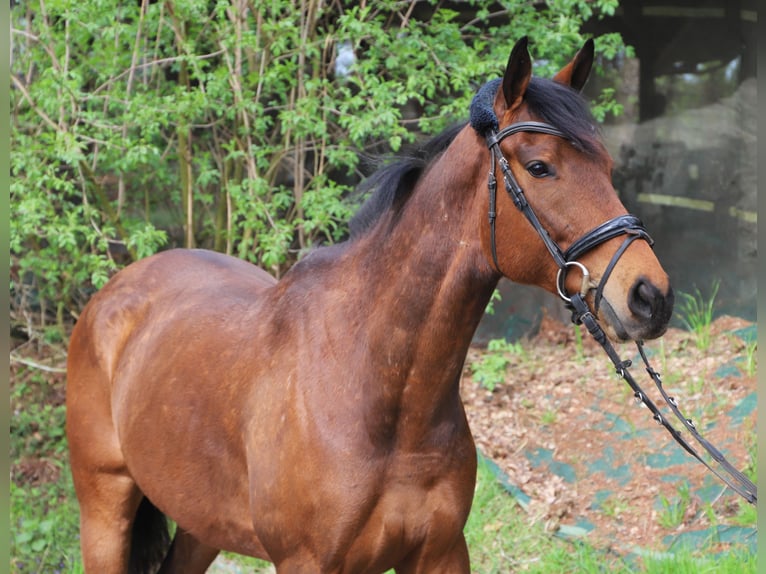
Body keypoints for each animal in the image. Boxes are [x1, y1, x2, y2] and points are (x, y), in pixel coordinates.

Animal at [66, 37, 674, 573]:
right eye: (540, 166)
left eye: (608, 168)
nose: (651, 296)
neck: (380, 392)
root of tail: (115, 293)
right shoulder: (306, 563)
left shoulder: (441, 554)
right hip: (104, 511)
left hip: (201, 525)